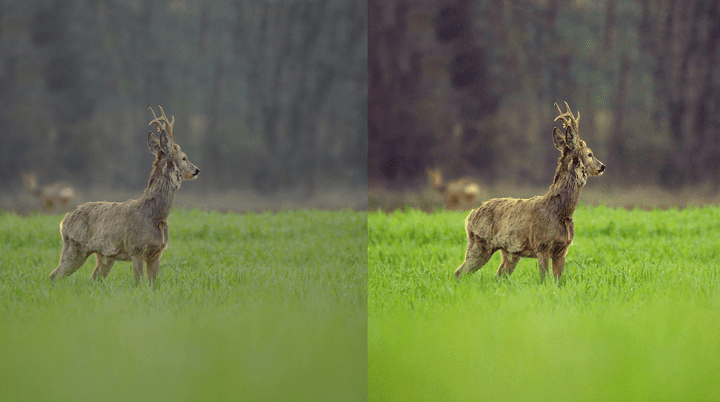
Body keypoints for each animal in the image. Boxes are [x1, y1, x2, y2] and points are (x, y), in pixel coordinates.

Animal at [50, 105, 200, 284]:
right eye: (184, 158)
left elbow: (153, 284)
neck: (154, 216)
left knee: (93, 277)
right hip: (75, 246)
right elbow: (138, 282)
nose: (197, 170)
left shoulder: (156, 253)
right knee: (55, 275)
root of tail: (64, 220)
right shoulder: (136, 248)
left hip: (104, 256)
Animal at [458, 102, 604, 282]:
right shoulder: (541, 245)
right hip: (480, 243)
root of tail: (470, 216)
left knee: (498, 275)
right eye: (590, 154)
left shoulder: (562, 250)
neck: (560, 212)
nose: (602, 166)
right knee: (460, 272)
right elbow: (544, 280)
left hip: (510, 252)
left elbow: (559, 281)